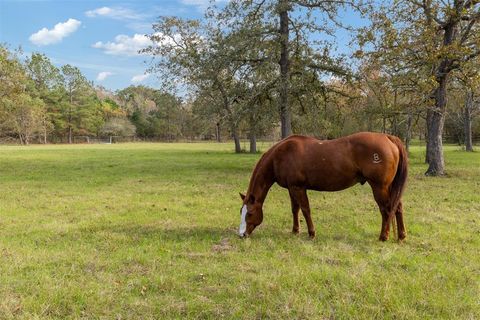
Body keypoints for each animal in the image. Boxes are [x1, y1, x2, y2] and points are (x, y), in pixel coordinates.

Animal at [238, 132, 406, 240]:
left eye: (250, 213)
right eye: (241, 211)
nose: (241, 235)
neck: (280, 156)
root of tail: (388, 138)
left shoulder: (298, 188)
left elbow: (305, 210)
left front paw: (311, 233)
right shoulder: (291, 188)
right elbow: (295, 209)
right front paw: (295, 231)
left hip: (379, 187)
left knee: (386, 209)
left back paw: (383, 236)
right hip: (388, 187)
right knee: (397, 206)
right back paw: (401, 236)